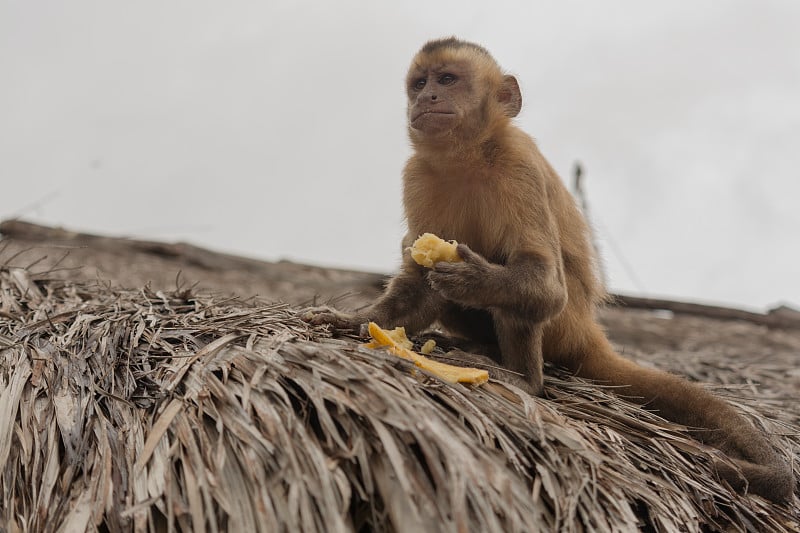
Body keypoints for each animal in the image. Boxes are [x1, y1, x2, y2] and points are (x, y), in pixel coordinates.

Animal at [306, 37, 792, 502]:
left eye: (446, 79)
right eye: (419, 83)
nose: (426, 98)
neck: (469, 156)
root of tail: (588, 332)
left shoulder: (518, 164)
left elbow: (542, 284)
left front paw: (476, 279)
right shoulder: (417, 174)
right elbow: (419, 278)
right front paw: (355, 321)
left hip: (566, 323)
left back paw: (522, 379)